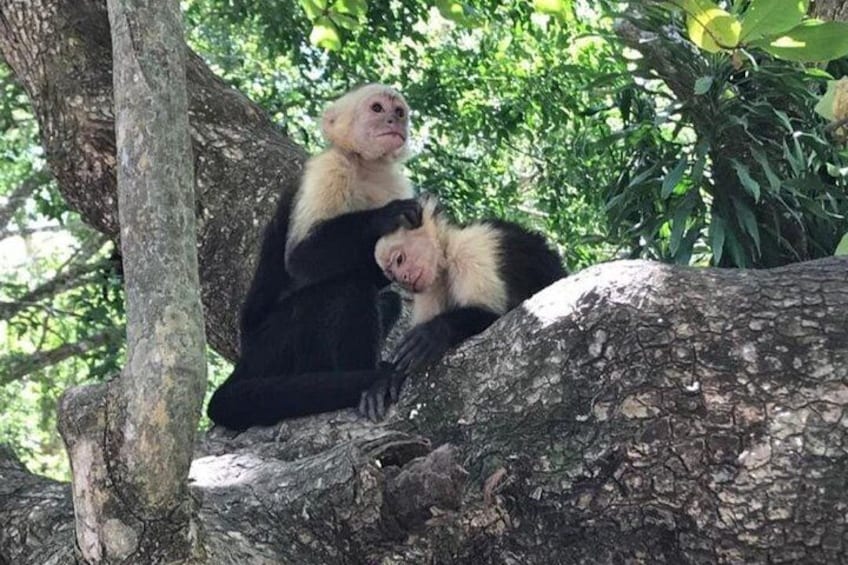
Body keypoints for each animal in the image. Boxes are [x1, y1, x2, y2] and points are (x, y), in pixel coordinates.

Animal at [207, 83, 422, 430]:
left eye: (399, 112)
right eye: (377, 108)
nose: (394, 120)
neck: (366, 167)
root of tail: (245, 360)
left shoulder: (392, 182)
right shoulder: (330, 169)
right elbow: (302, 260)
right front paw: (388, 216)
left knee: (386, 300)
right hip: (274, 347)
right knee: (346, 286)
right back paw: (365, 380)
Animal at [361, 196, 566, 418]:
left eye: (399, 259)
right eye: (392, 275)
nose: (404, 279)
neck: (445, 253)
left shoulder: (471, 248)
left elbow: (498, 316)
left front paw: (434, 332)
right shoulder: (429, 286)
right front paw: (388, 377)